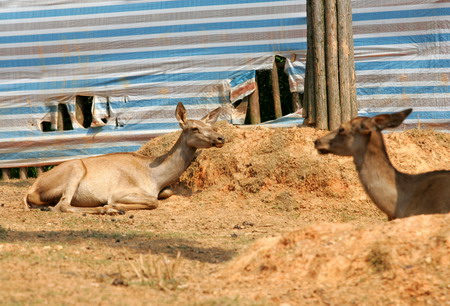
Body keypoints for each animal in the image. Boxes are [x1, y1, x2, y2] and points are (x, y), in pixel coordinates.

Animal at [24, 101, 225, 214]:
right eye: (194, 128)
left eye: (210, 126)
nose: (220, 138)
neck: (155, 178)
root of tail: (31, 191)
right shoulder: (120, 191)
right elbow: (153, 202)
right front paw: (115, 206)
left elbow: (166, 193)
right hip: (75, 168)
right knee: (62, 206)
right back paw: (107, 210)